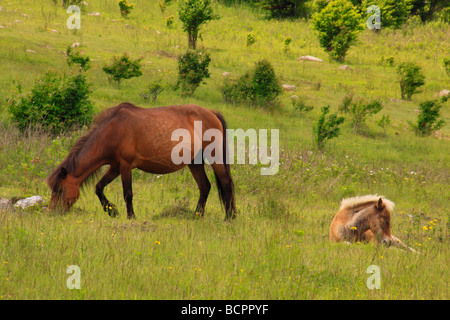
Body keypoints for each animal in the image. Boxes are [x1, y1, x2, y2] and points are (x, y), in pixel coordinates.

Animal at [47, 102, 237, 220]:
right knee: (205, 186)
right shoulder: (115, 167)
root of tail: (212, 114)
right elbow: (99, 187)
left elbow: (128, 193)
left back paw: (230, 217)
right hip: (194, 163)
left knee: (226, 183)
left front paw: (130, 216)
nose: (51, 213)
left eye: (59, 190)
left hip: (215, 157)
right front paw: (111, 211)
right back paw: (197, 215)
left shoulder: (125, 166)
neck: (113, 131)